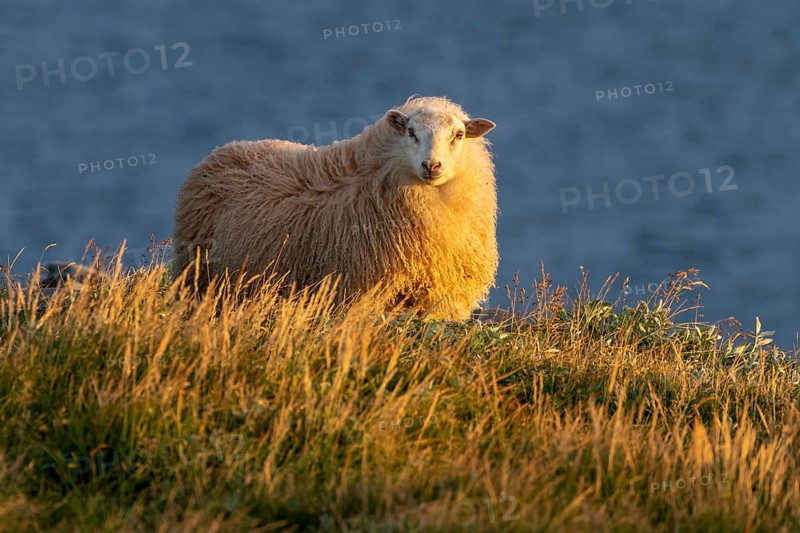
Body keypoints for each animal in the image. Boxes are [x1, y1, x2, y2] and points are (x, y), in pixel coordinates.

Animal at [172, 96, 498, 320]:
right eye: (411, 132)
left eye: (458, 135)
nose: (431, 165)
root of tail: (221, 152)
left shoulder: (442, 299)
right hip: (197, 274)